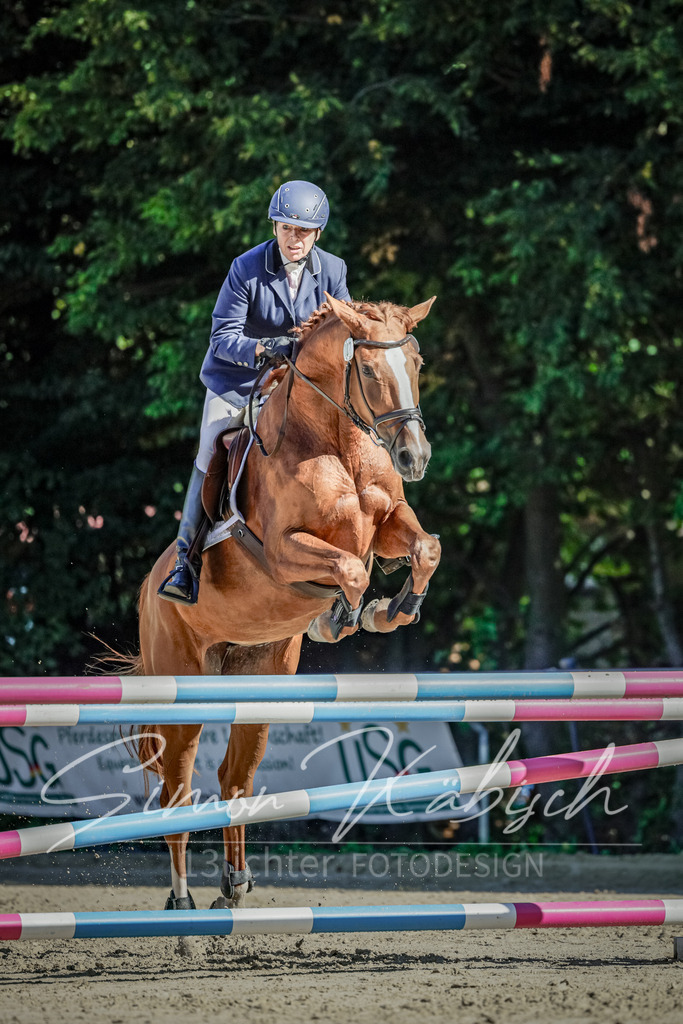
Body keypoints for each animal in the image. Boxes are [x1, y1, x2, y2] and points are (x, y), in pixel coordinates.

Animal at [131, 292, 442, 911]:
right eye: (370, 371)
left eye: (417, 363)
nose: (414, 457)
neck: (340, 444)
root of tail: (146, 593)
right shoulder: (283, 551)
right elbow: (349, 568)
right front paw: (341, 617)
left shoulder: (389, 524)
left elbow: (425, 548)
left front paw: (393, 609)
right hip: (182, 686)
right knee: (176, 789)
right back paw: (181, 900)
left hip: (259, 678)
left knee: (234, 778)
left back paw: (234, 885)